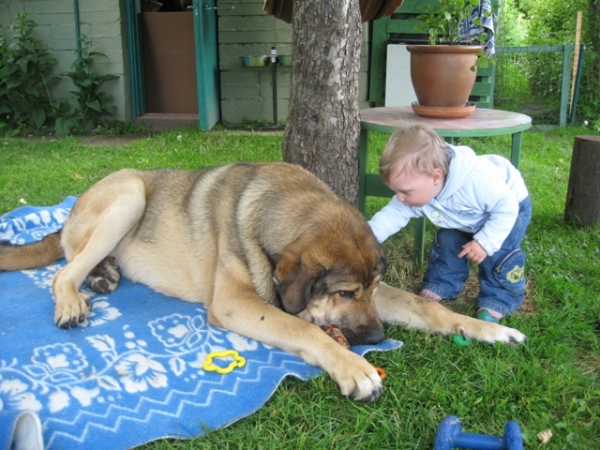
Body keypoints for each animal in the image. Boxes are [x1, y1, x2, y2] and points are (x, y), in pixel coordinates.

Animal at [0, 162, 524, 400]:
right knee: (63, 270)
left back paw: (105, 276)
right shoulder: (235, 302)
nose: (377, 337)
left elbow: (428, 307)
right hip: (129, 193)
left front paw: (491, 329)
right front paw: (353, 367)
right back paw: (73, 297)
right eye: (345, 293)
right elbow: (304, 328)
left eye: (374, 290)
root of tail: (68, 213)